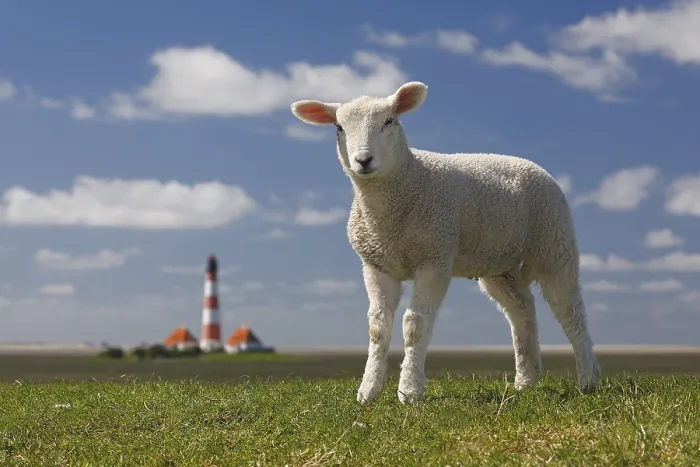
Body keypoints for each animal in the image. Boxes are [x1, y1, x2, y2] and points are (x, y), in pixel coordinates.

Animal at [290, 81, 601, 405]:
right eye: (338, 127)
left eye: (390, 121)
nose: (363, 160)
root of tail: (531, 164)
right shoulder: (376, 264)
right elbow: (377, 328)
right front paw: (368, 391)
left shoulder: (435, 258)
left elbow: (415, 325)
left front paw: (410, 390)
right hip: (500, 264)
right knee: (522, 311)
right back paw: (526, 381)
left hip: (554, 243)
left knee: (571, 313)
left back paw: (588, 380)